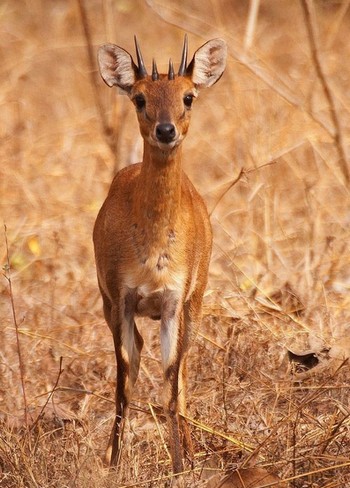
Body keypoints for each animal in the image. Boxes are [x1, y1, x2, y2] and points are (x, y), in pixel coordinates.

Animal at [93, 36, 227, 474]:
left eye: (188, 96)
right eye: (139, 97)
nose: (165, 130)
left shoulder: (174, 301)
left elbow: (171, 381)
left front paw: (180, 466)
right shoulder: (120, 298)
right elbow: (123, 381)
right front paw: (114, 464)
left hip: (196, 302)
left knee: (181, 374)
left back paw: (192, 450)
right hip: (110, 305)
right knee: (137, 359)